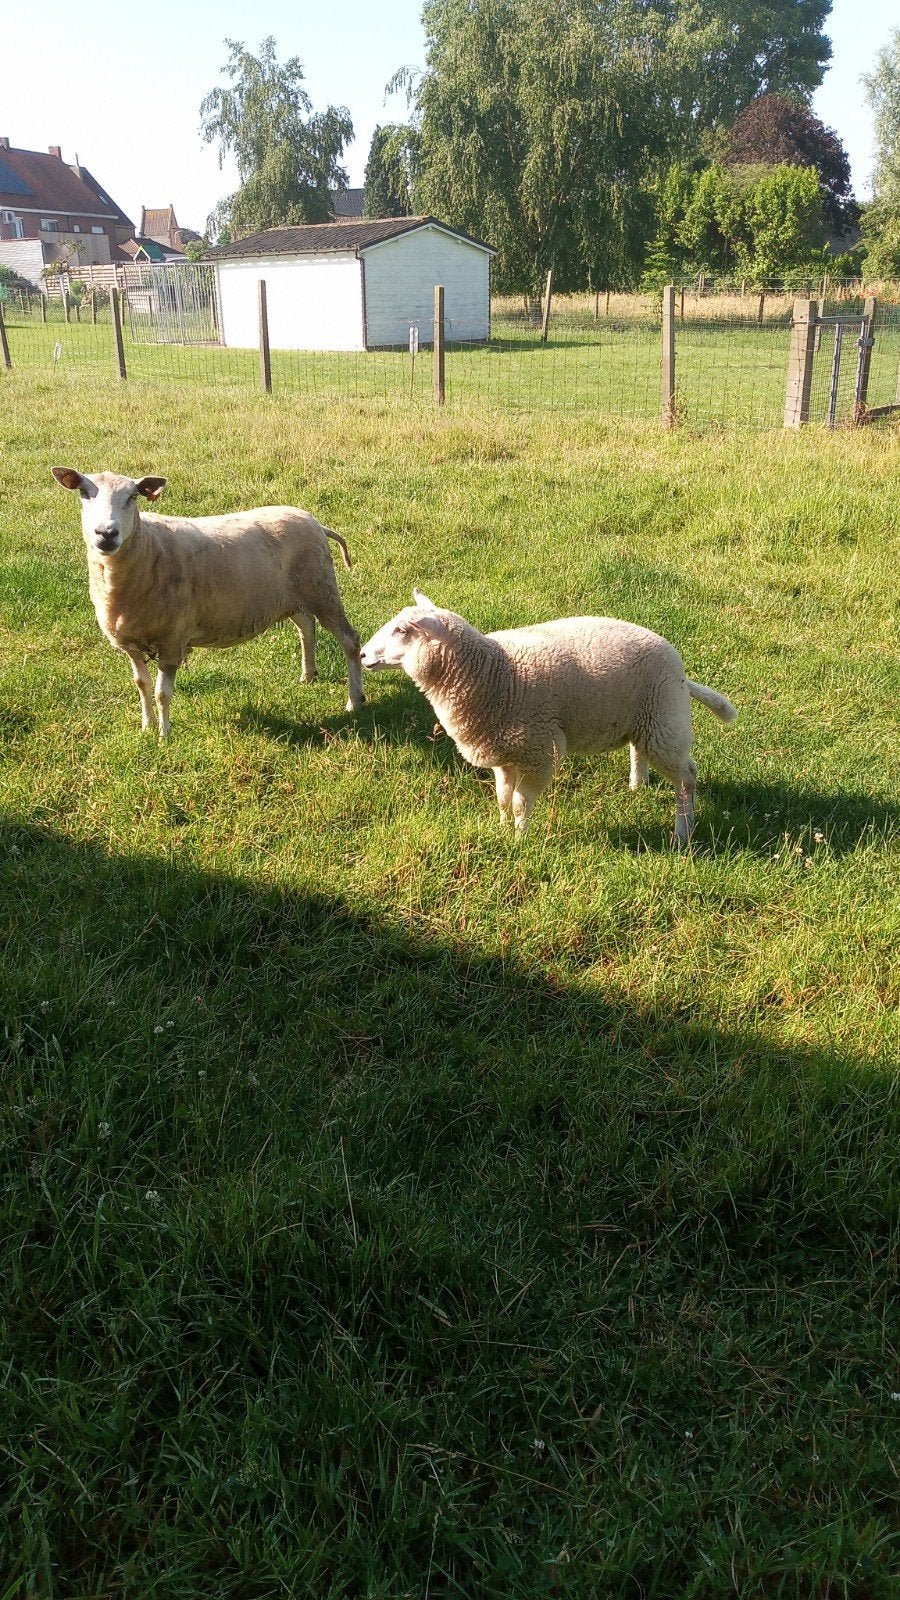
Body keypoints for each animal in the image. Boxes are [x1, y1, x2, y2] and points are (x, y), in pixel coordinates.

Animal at [52, 468, 365, 736]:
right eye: (83, 492)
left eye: (132, 497)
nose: (106, 533)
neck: (148, 548)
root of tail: (315, 522)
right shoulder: (131, 643)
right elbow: (141, 685)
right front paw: (146, 726)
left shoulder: (172, 641)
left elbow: (161, 693)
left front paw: (164, 736)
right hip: (293, 596)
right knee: (306, 626)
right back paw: (308, 675)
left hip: (322, 588)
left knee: (350, 640)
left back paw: (354, 700)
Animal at [360, 590, 737, 843]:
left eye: (402, 631)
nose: (362, 654)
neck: (495, 673)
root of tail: (680, 671)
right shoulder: (504, 752)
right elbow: (502, 798)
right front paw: (502, 830)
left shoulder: (539, 750)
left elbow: (519, 803)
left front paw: (520, 840)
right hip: (645, 716)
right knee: (638, 749)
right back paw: (637, 786)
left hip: (664, 720)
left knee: (686, 777)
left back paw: (682, 832)